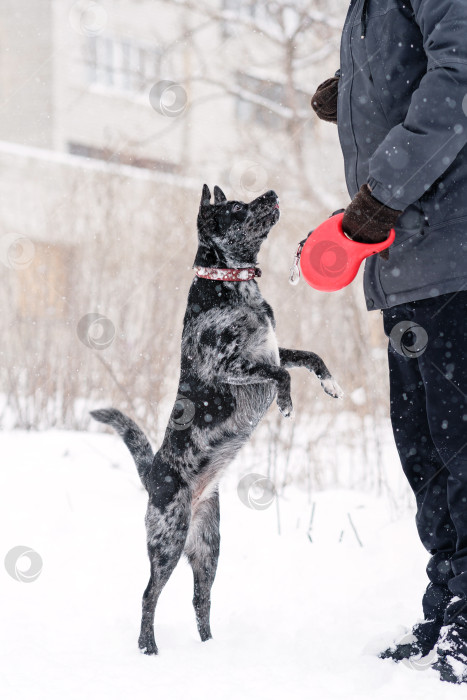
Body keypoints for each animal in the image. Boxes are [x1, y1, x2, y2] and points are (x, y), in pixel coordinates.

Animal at [91, 186, 342, 656]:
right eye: (236, 208)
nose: (273, 192)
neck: (232, 286)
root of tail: (152, 474)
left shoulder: (275, 350)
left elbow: (308, 357)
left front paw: (331, 384)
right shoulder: (230, 367)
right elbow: (281, 375)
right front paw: (286, 403)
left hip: (209, 549)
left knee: (200, 598)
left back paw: (210, 647)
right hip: (168, 542)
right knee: (149, 594)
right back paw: (148, 647)